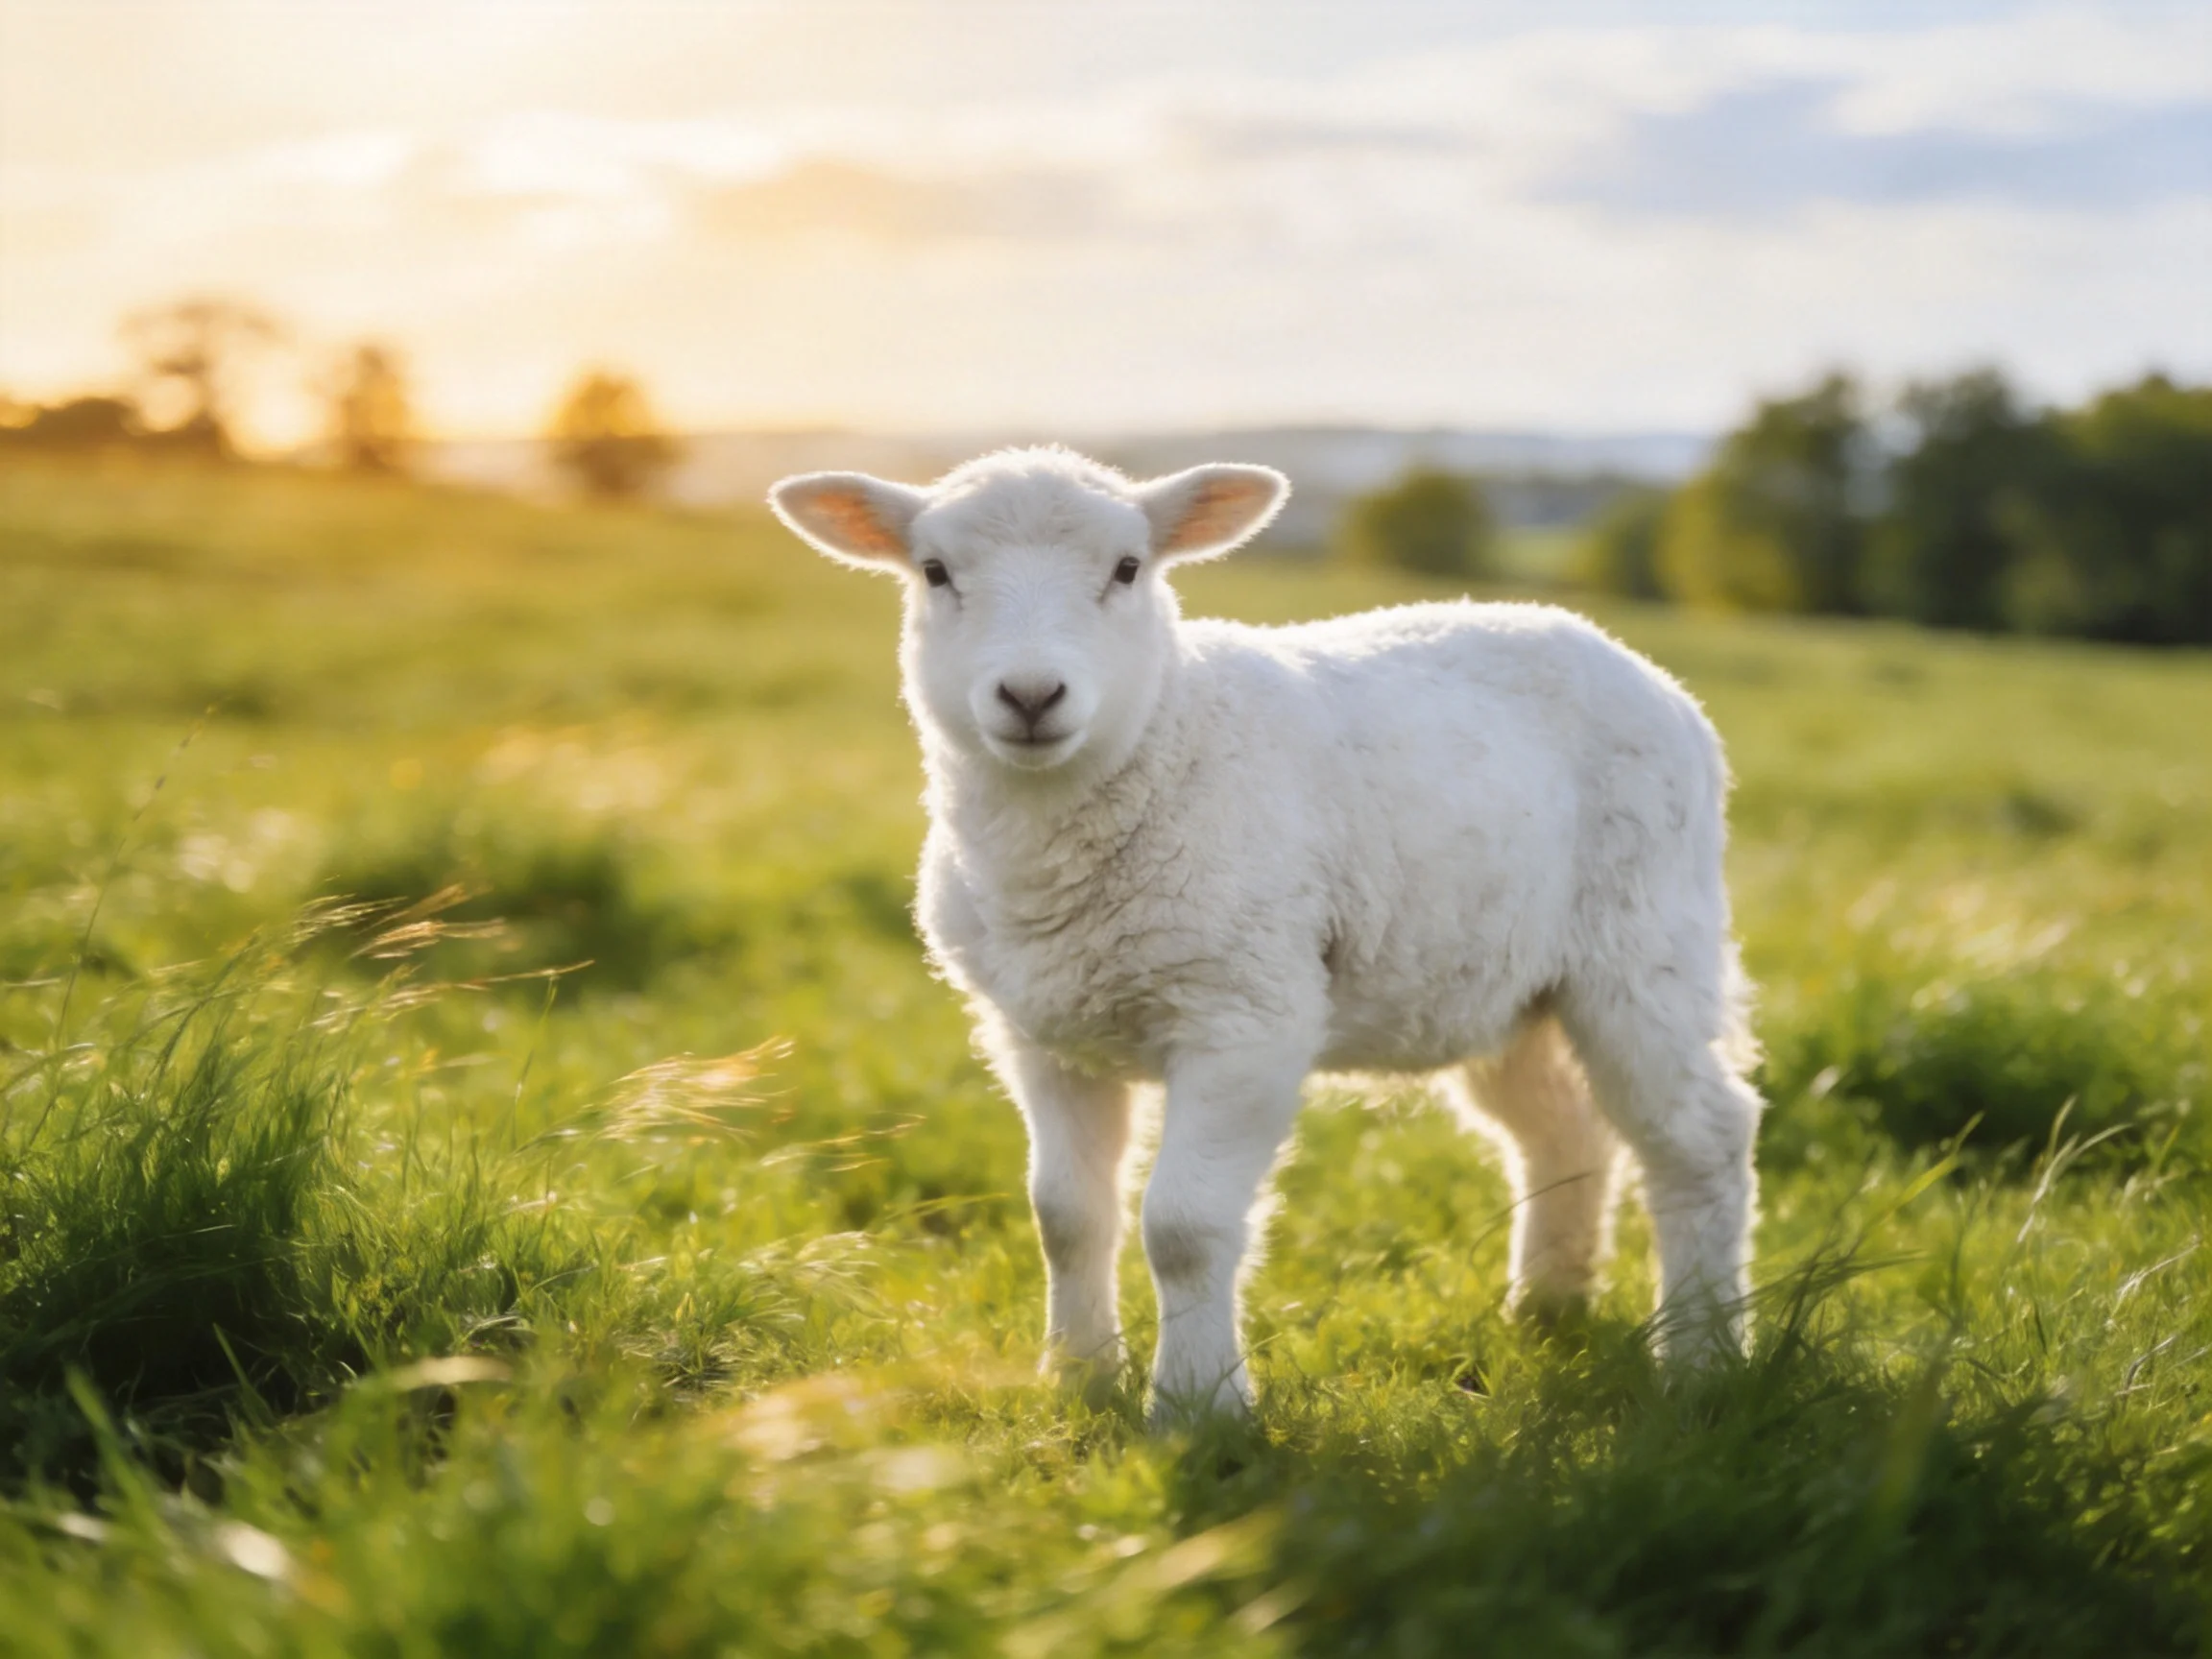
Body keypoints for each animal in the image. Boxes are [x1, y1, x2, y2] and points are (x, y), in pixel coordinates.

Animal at [768, 446, 1764, 1422]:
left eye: (1127, 568)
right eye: (935, 572)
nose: (1031, 694)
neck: (1165, 736)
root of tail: (1630, 661)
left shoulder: (1245, 1014)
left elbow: (1182, 1225)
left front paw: (1199, 1408)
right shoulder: (1042, 1035)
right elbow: (1065, 1215)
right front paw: (1078, 1379)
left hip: (1645, 946)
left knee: (1701, 1138)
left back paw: (1703, 1357)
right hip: (1503, 983)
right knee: (1563, 1132)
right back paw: (1548, 1310)